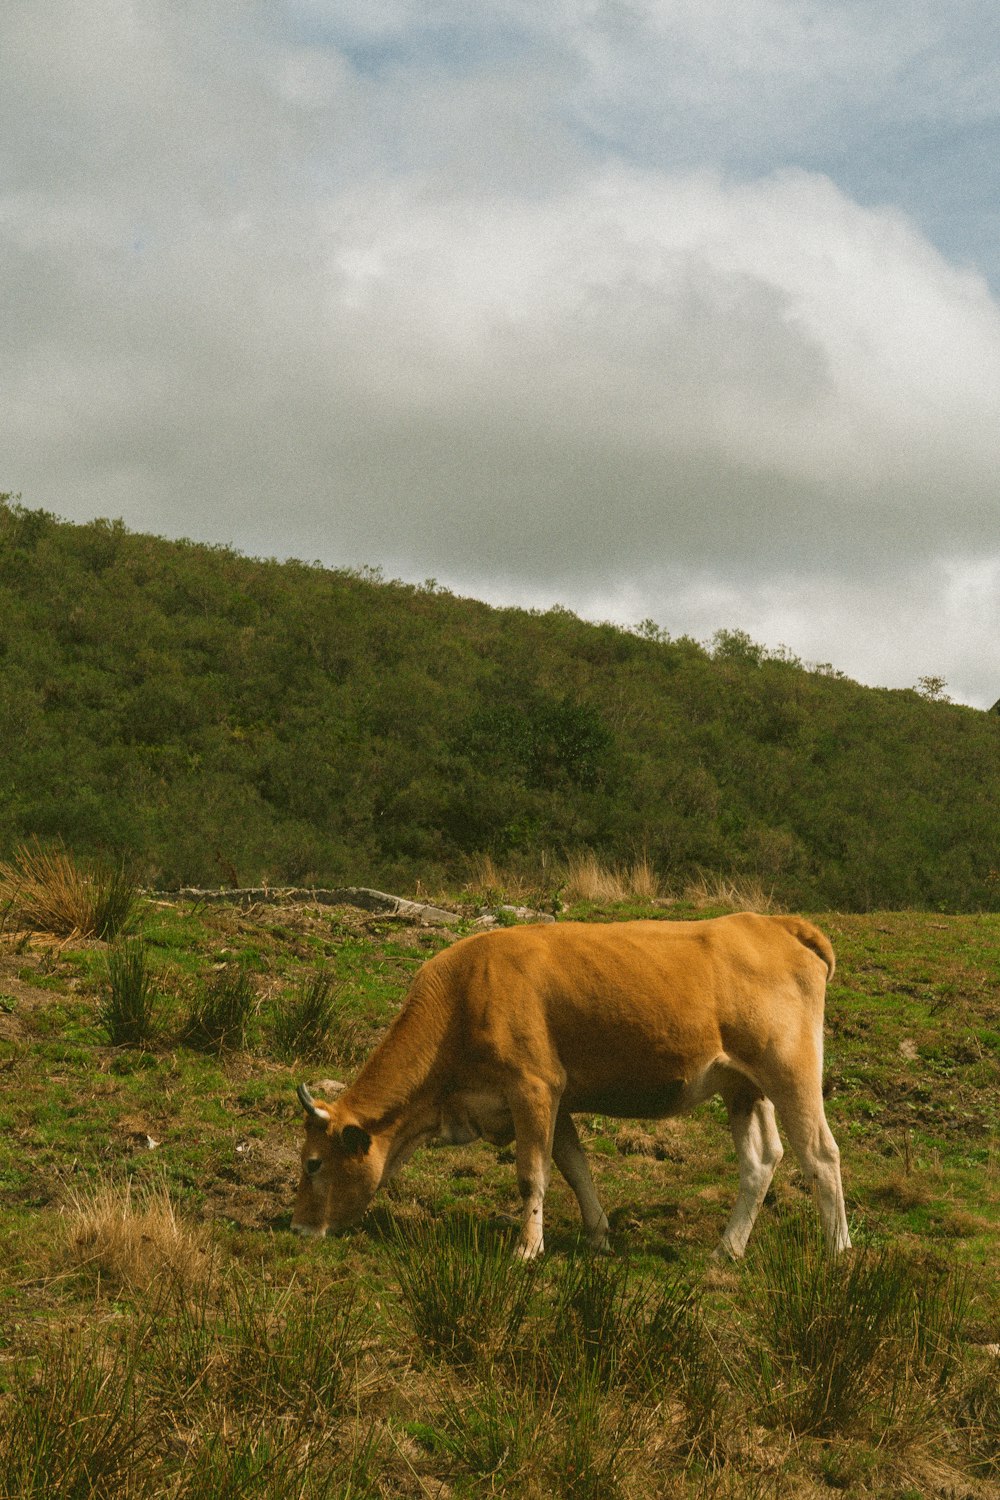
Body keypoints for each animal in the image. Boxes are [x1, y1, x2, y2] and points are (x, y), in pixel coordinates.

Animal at [290, 912, 851, 1254]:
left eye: (313, 1163)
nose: (297, 1227)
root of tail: (770, 922)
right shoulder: (555, 1099)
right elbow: (575, 1168)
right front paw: (599, 1236)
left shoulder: (534, 1087)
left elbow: (531, 1174)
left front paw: (527, 1248)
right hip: (742, 1085)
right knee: (761, 1162)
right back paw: (726, 1251)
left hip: (790, 1071)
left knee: (821, 1154)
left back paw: (838, 1250)